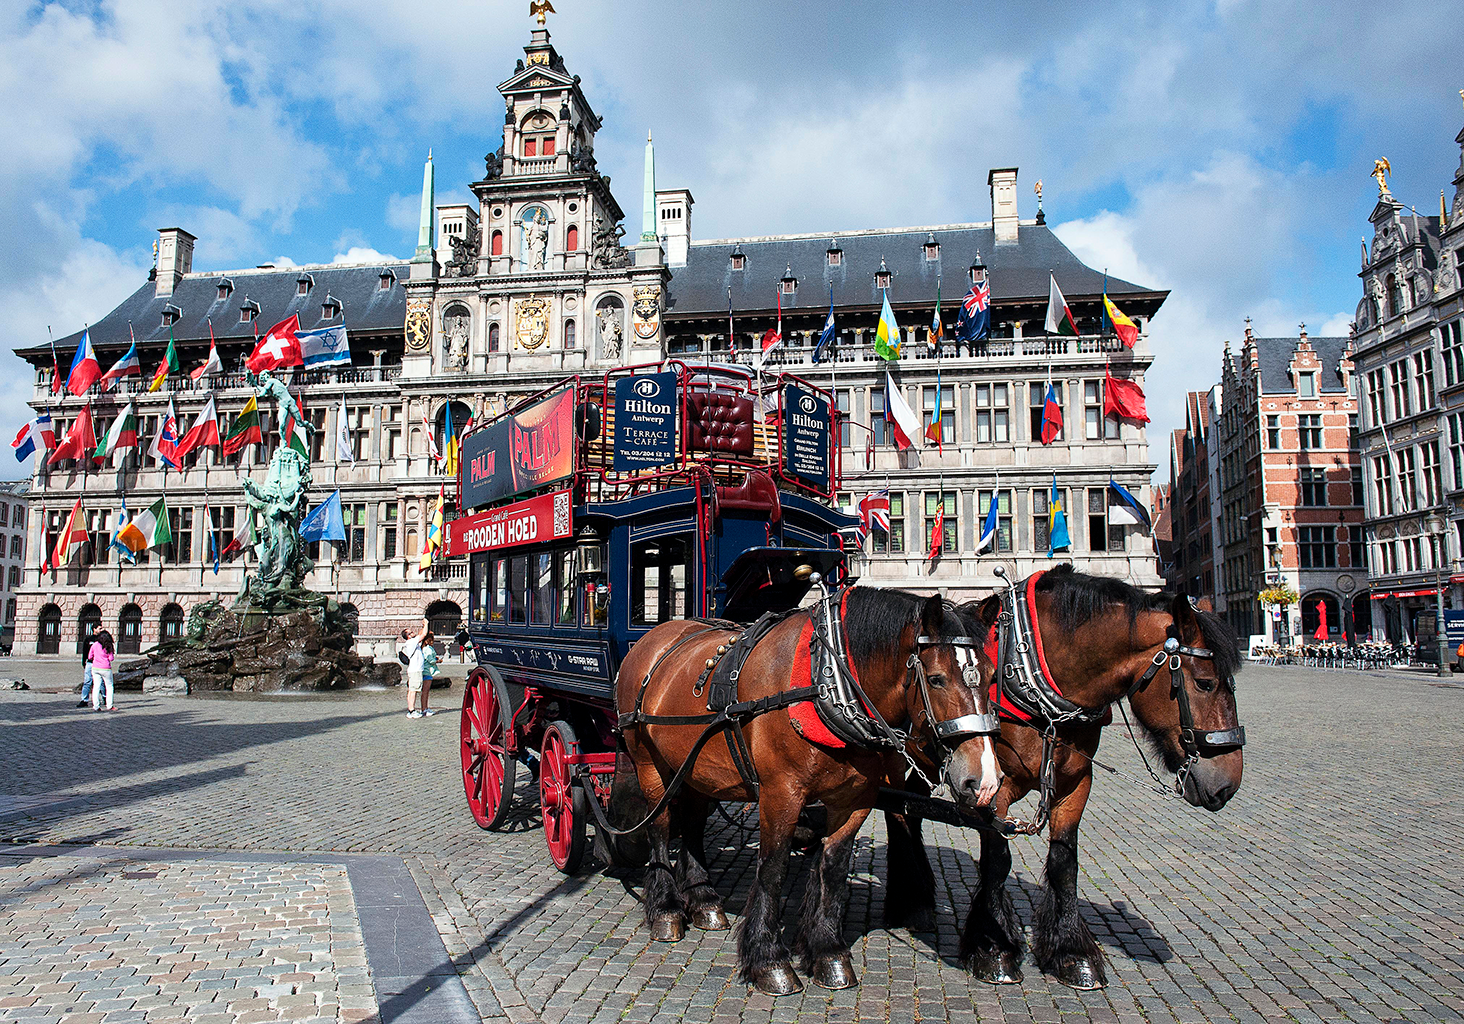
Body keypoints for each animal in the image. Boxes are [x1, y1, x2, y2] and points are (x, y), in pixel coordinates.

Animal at [611, 588, 1001, 996]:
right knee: (659, 827)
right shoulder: (781, 793)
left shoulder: (855, 799)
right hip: (648, 762)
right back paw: (667, 910)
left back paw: (704, 902)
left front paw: (829, 953)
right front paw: (769, 961)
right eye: (937, 679)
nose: (985, 780)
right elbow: (773, 869)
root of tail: (657, 636)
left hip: (695, 768)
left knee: (692, 824)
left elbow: (833, 869)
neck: (827, 683)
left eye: (992, 677)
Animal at [878, 568, 1247, 996]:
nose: (1226, 784)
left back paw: (918, 898)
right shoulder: (995, 787)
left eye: (1231, 683)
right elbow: (997, 861)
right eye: (1205, 682)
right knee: (897, 810)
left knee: (909, 805)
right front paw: (994, 950)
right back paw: (910, 900)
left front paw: (1073, 953)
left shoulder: (1076, 781)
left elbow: (1063, 863)